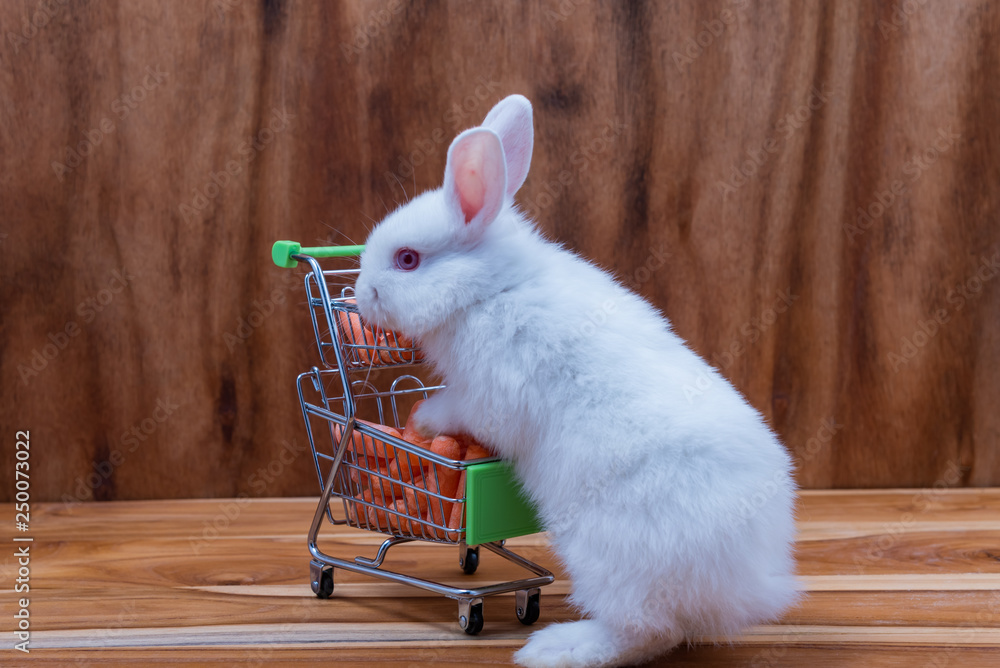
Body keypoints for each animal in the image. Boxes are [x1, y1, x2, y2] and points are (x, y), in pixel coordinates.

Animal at [354, 94, 799, 668]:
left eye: (407, 259)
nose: (361, 293)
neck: (490, 290)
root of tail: (741, 586)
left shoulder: (486, 395)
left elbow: (457, 409)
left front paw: (423, 421)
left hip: (611, 562)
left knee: (645, 631)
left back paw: (557, 648)